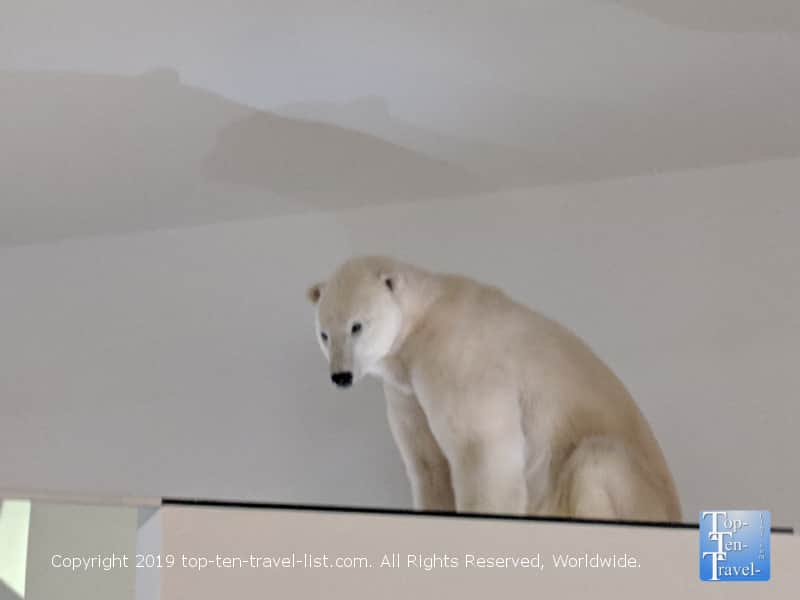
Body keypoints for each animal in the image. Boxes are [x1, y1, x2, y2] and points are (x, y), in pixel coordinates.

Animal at [307, 255, 682, 521]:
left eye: (357, 326)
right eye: (324, 334)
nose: (341, 376)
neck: (423, 323)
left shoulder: (459, 358)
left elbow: (480, 447)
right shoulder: (405, 391)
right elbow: (427, 460)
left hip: (641, 495)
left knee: (598, 457)